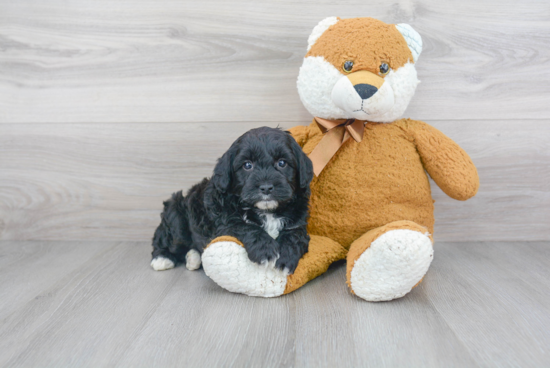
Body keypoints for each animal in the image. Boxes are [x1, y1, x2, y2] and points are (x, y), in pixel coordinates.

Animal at [151, 126, 314, 274]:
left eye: (282, 163)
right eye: (247, 165)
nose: (266, 187)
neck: (267, 211)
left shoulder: (298, 223)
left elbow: (294, 235)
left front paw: (285, 257)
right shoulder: (224, 222)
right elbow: (243, 226)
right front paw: (265, 250)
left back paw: (193, 257)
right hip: (176, 214)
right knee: (166, 238)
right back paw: (162, 258)